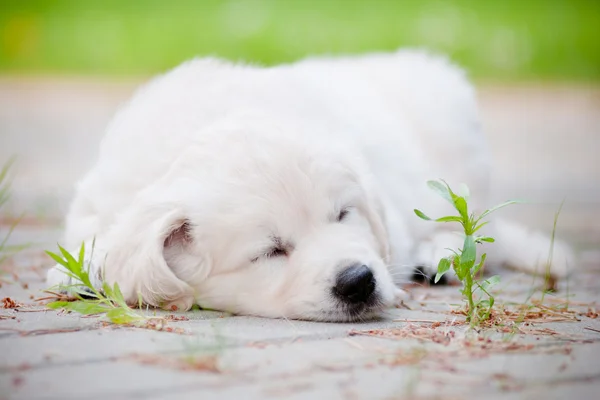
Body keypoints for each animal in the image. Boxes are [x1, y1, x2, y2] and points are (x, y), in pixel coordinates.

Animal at [47, 49, 572, 322]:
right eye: (270, 251)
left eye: (343, 214)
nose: (359, 281)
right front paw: (77, 276)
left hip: (455, 129)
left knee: (477, 227)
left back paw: (438, 256)